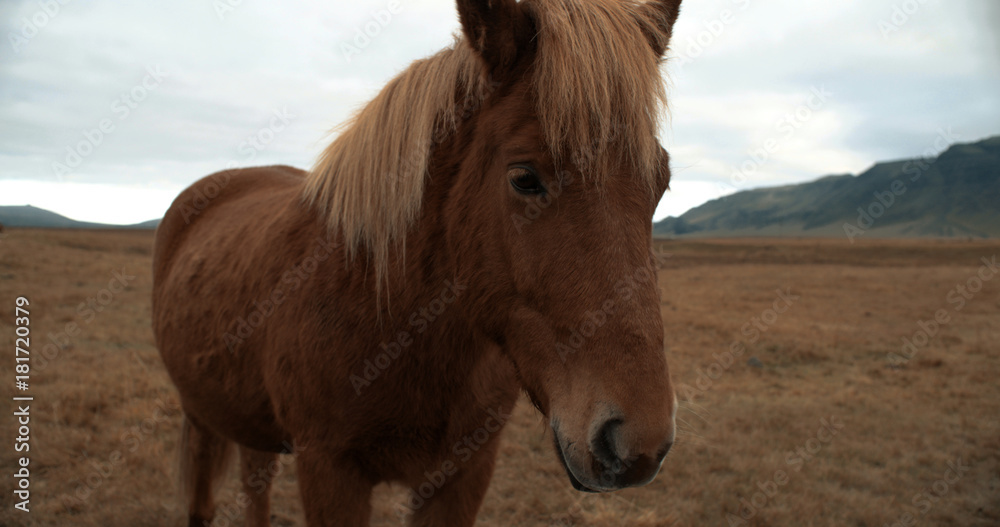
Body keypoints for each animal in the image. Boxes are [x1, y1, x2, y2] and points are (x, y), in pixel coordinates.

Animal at [152, 0, 683, 525]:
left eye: (661, 183)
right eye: (524, 178)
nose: (636, 444)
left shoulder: (464, 472)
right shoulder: (328, 469)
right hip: (201, 417)